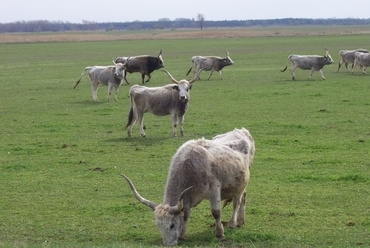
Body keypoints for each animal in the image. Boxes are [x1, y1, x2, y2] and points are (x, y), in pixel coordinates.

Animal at [121, 128, 254, 246]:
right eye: (158, 226)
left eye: (172, 225)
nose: (168, 244)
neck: (190, 167)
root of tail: (242, 131)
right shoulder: (187, 197)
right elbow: (185, 214)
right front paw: (182, 235)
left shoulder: (214, 190)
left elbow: (216, 213)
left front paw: (220, 233)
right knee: (243, 197)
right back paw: (241, 221)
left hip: (241, 185)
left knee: (237, 202)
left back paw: (232, 223)